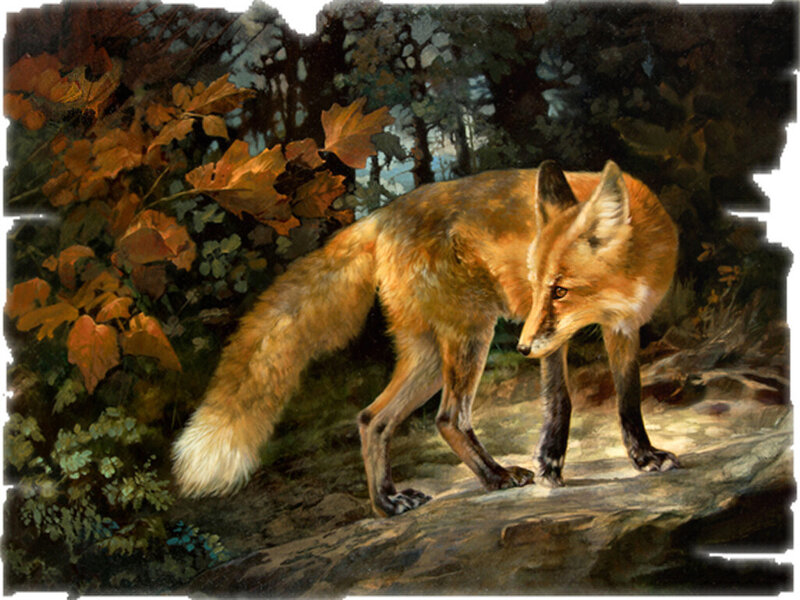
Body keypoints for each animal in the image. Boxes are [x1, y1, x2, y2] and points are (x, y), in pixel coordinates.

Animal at [172, 159, 680, 517]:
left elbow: (628, 399)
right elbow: (561, 400)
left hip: (430, 358)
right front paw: (550, 464)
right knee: (448, 418)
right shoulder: (554, 341)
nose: (520, 348)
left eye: (559, 290)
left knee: (370, 419)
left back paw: (386, 504)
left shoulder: (622, 328)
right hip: (469, 337)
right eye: (535, 286)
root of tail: (381, 216)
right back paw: (495, 477)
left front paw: (643, 457)